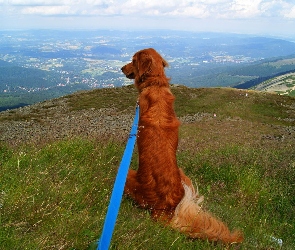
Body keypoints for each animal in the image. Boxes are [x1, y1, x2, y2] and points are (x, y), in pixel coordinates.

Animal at [121, 48, 244, 244]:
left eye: (133, 61)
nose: (121, 68)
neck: (156, 83)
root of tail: (169, 209)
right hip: (183, 175)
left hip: (129, 176)